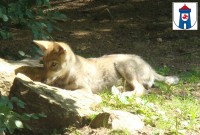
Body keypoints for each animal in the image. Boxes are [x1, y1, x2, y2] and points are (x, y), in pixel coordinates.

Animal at [33, 40, 180, 96]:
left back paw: (122, 94)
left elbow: (68, 90)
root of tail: (149, 67)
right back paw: (117, 89)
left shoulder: (85, 89)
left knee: (141, 90)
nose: (42, 81)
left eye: (54, 64)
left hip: (123, 65)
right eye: (42, 63)